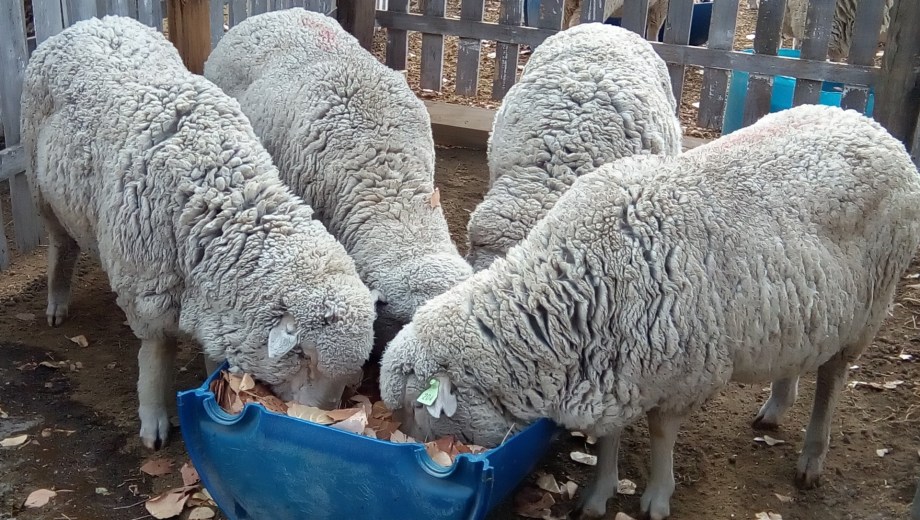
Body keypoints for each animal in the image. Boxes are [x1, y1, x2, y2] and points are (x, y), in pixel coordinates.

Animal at [21, 15, 376, 450]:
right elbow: (156, 356)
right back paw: (56, 302)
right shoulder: (147, 289)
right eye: (304, 356)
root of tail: (93, 21)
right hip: (40, 186)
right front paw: (154, 421)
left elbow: (213, 352)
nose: (321, 421)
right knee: (61, 245)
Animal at [380, 104, 920, 520]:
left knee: (832, 380)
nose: (412, 451)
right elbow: (611, 437)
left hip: (869, 306)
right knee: (800, 358)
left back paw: (812, 458)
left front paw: (657, 497)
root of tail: (873, 126)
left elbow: (661, 435)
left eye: (416, 407)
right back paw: (775, 407)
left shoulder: (683, 371)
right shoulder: (616, 370)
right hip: (807, 309)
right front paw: (598, 494)